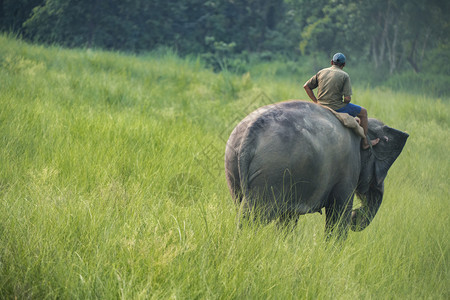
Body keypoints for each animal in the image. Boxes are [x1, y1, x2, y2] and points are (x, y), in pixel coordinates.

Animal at [224, 100, 408, 237]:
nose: (356, 216)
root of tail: (250, 132)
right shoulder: (348, 170)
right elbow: (339, 213)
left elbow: (288, 218)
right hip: (271, 173)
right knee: (254, 217)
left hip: (234, 164)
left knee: (242, 207)